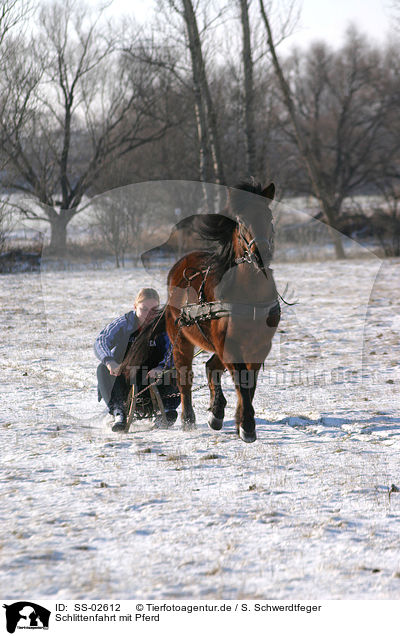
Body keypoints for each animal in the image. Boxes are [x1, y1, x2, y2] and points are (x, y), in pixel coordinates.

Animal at [123, 181, 280, 442]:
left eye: (269, 216)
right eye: (241, 221)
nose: (261, 255)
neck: (249, 295)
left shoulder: (259, 346)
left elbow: (249, 383)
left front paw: (239, 420)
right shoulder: (228, 345)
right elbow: (241, 382)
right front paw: (247, 425)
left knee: (211, 367)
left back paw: (217, 411)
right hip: (182, 342)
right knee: (185, 378)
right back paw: (189, 418)